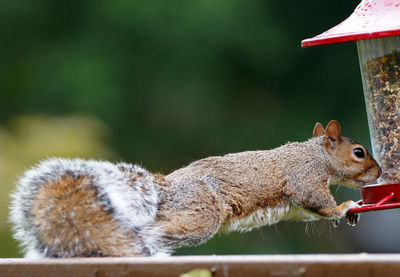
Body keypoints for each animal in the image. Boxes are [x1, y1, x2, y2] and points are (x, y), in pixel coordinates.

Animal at [9, 119, 382, 258]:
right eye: (358, 152)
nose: (379, 172)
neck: (316, 154)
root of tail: (166, 189)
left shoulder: (295, 203)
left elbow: (309, 211)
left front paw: (347, 214)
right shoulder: (305, 178)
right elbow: (320, 201)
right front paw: (346, 207)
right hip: (200, 215)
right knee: (152, 232)